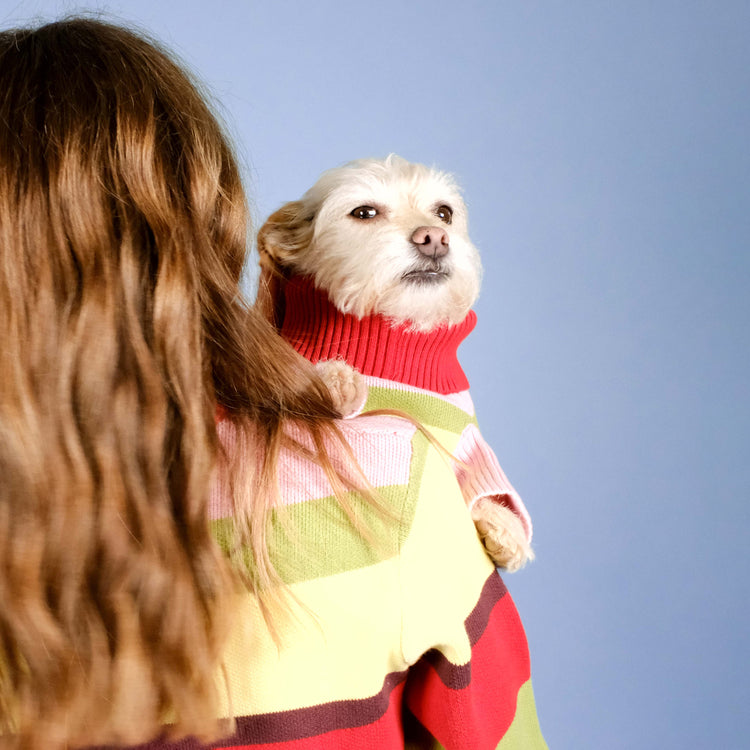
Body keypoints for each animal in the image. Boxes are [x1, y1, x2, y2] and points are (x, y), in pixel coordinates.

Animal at [258, 156, 536, 572]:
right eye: (364, 212)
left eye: (444, 212)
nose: (434, 237)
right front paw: (336, 379)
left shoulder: (468, 439)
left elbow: (480, 480)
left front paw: (505, 524)